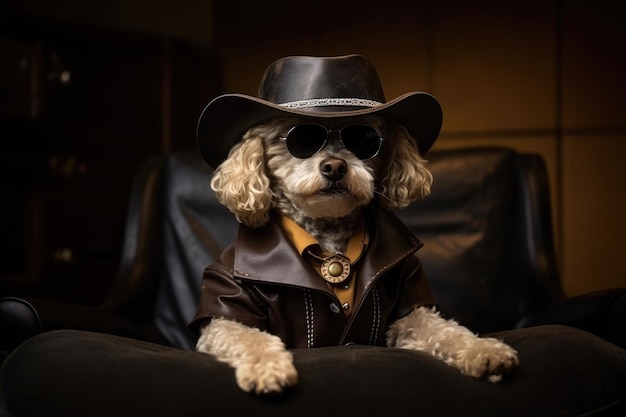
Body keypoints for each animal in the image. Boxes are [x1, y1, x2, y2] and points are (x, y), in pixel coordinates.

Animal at [190, 54, 516, 394]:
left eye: (364, 138)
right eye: (300, 139)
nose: (334, 166)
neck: (329, 234)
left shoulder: (409, 311)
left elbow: (444, 330)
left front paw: (485, 350)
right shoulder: (225, 317)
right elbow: (248, 337)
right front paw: (267, 367)